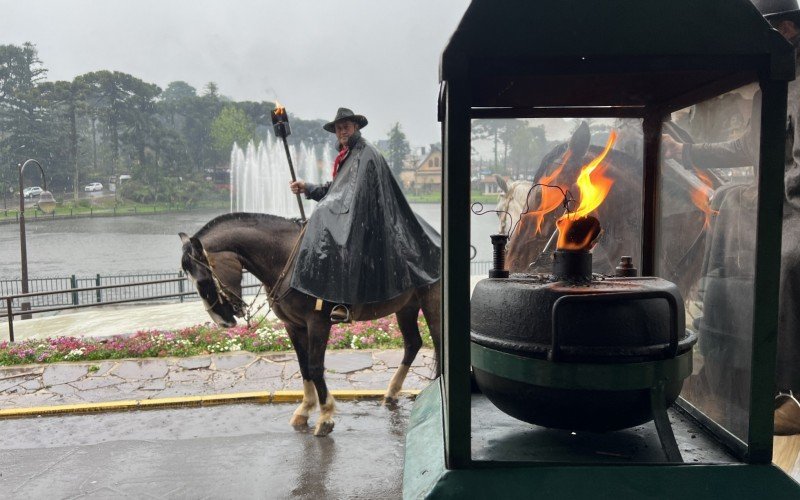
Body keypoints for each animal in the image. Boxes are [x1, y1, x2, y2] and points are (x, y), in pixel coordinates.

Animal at [180, 213, 444, 436]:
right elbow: (304, 366)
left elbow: (316, 367)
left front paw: (325, 416)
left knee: (439, 344)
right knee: (413, 344)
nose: (222, 321)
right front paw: (305, 409)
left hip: (432, 302)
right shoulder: (294, 326)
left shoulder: (318, 323)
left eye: (203, 280)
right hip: (406, 306)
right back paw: (391, 393)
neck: (290, 260)